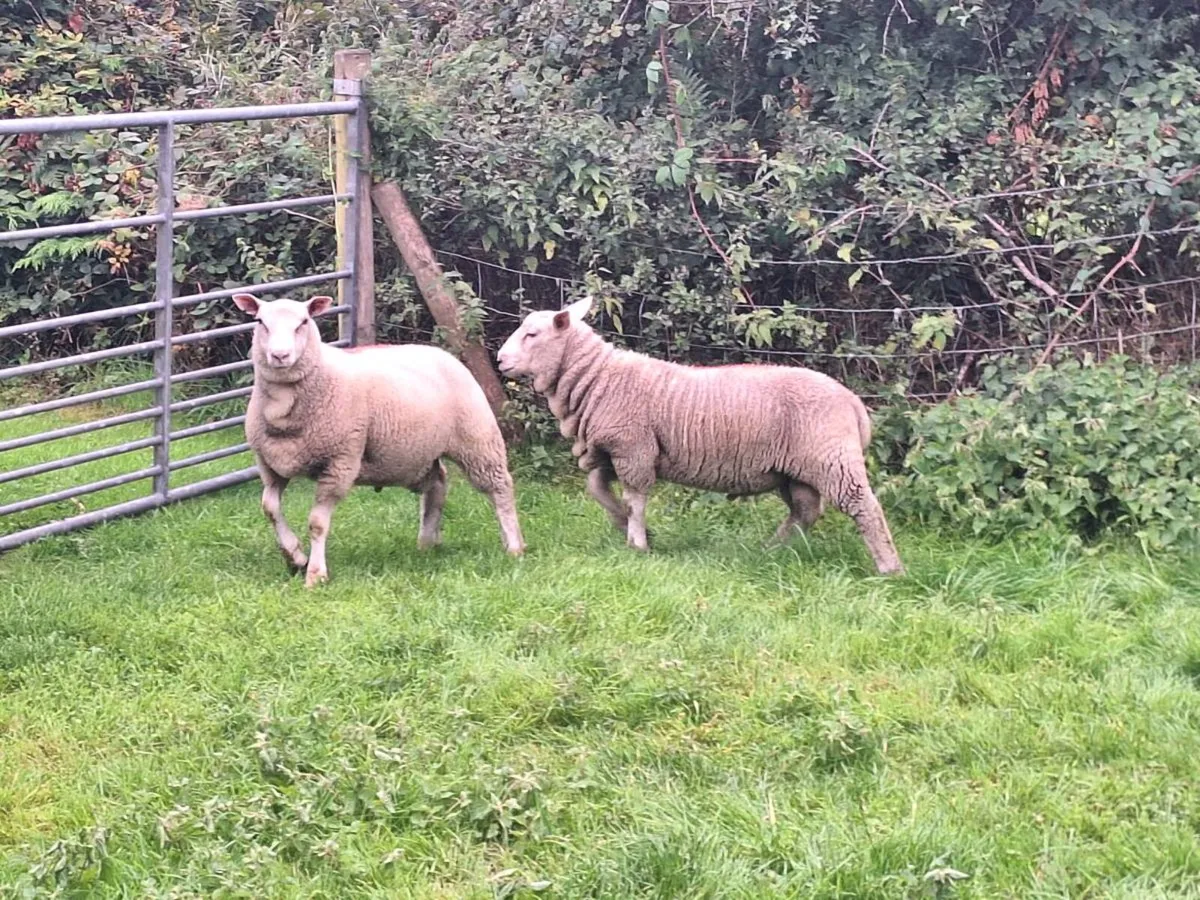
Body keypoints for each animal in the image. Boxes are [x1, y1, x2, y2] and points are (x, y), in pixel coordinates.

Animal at [232, 292, 525, 587]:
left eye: (303, 322)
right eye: (260, 322)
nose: (280, 355)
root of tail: (440, 352)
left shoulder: (340, 463)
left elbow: (317, 523)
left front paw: (315, 574)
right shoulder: (269, 465)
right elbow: (269, 508)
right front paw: (294, 557)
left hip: (477, 439)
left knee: (500, 488)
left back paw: (514, 546)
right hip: (415, 455)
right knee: (437, 484)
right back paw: (426, 543)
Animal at [495, 296, 903, 575]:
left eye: (532, 334)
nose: (499, 360)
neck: (599, 377)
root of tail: (854, 404)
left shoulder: (634, 448)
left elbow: (636, 499)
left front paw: (637, 542)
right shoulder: (614, 451)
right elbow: (598, 490)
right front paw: (628, 526)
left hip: (832, 459)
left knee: (864, 506)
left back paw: (890, 568)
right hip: (794, 471)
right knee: (805, 511)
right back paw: (772, 548)